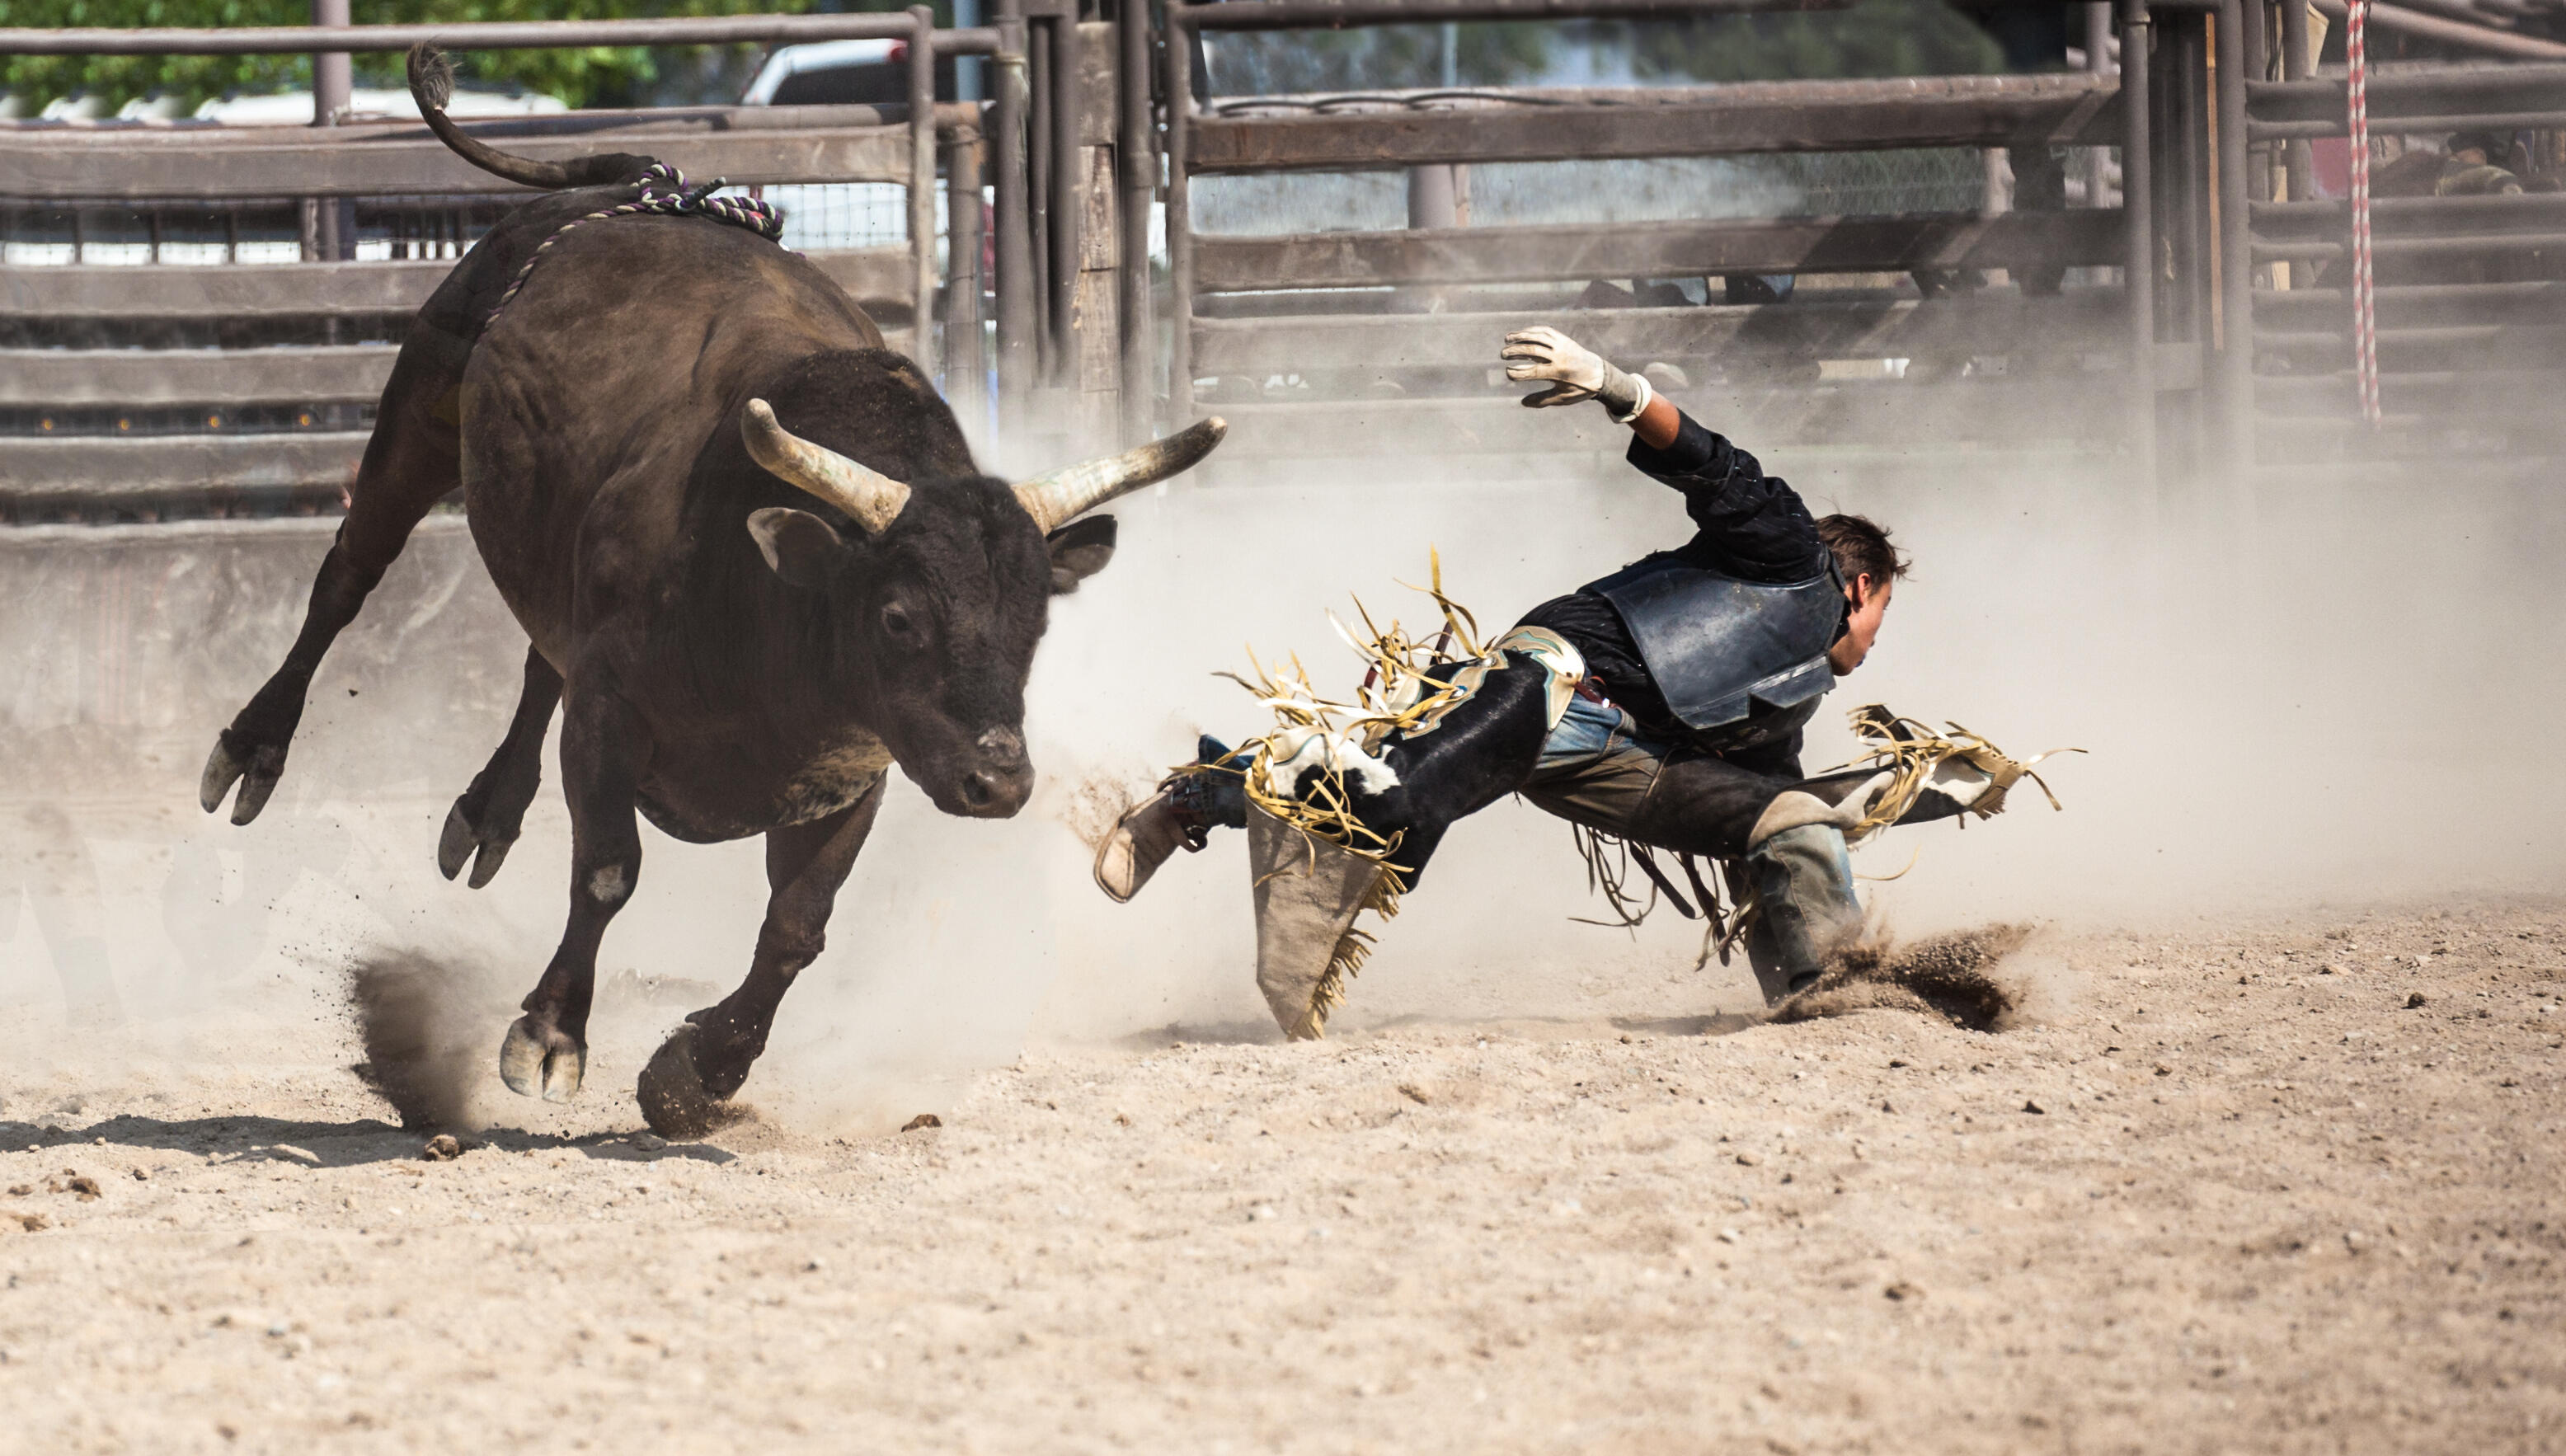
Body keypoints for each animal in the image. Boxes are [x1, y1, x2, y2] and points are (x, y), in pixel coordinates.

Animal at [204, 71, 1226, 1139]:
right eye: (899, 617)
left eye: (1036, 625)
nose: (1000, 782)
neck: (770, 599)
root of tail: (651, 186)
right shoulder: (611, 716)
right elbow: (609, 867)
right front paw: (553, 1034)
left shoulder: (852, 773)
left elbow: (796, 927)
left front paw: (699, 1070)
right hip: (420, 416)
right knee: (347, 579)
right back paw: (252, 749)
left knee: (539, 660)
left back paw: (487, 814)